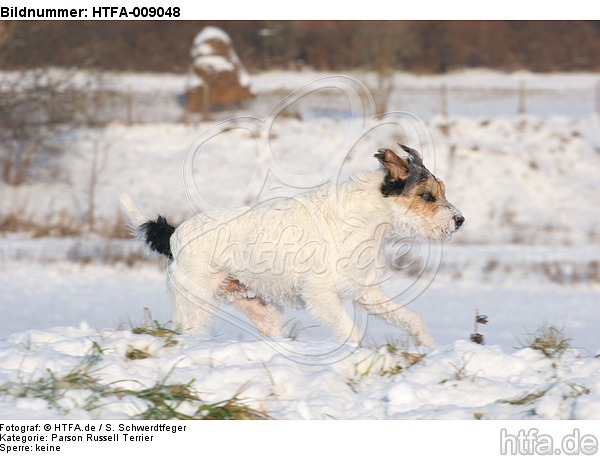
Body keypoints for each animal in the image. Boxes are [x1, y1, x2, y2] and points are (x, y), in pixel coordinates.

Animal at [118, 144, 464, 348]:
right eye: (428, 196)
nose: (459, 220)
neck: (364, 220)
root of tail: (176, 235)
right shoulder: (322, 296)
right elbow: (351, 332)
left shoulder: (366, 293)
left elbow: (411, 318)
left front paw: (428, 347)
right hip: (196, 305)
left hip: (261, 310)